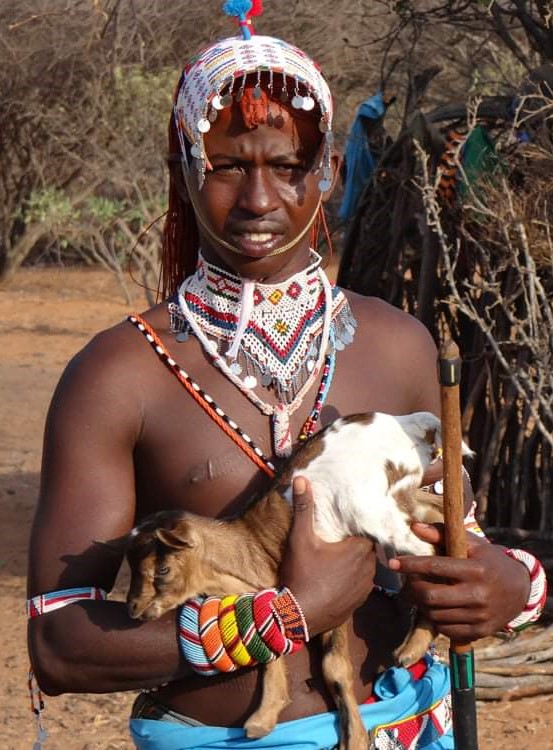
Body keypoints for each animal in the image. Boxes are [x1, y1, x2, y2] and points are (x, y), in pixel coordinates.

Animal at [118, 414, 468, 748]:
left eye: (161, 571)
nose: (133, 609)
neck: (249, 548)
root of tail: (409, 421)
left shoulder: (337, 595)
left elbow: (334, 667)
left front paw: (351, 738)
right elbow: (275, 651)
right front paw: (267, 716)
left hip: (375, 510)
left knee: (427, 550)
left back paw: (413, 643)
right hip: (402, 499)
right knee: (436, 526)